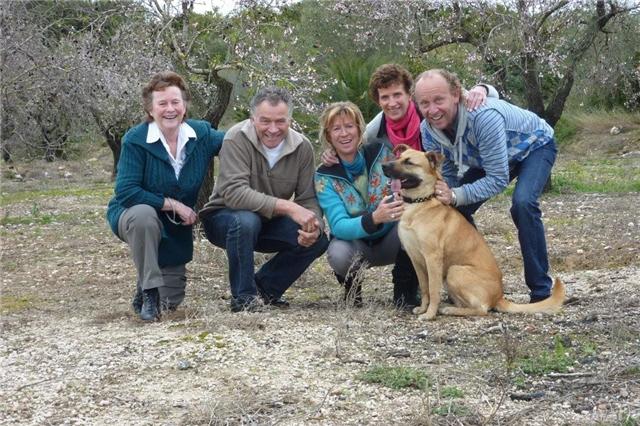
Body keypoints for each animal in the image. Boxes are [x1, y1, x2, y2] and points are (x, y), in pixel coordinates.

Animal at [382, 145, 564, 318]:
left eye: (409, 162)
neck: (419, 203)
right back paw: (448, 307)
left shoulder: (432, 258)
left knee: (482, 309)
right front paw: (422, 309)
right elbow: (425, 288)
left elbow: (433, 290)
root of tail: (499, 297)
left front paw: (429, 314)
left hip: (454, 271)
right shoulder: (415, 259)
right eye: (398, 157)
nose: (384, 166)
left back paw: (449, 310)